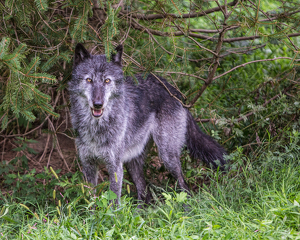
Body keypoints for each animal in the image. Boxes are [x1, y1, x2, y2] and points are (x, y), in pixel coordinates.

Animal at [68, 43, 227, 204]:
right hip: (133, 161)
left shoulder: (114, 167)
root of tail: (175, 92)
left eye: (107, 81)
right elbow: (91, 200)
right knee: (145, 194)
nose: (98, 104)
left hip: (167, 156)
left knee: (183, 185)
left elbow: (113, 201)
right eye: (89, 80)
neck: (96, 128)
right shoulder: (88, 165)